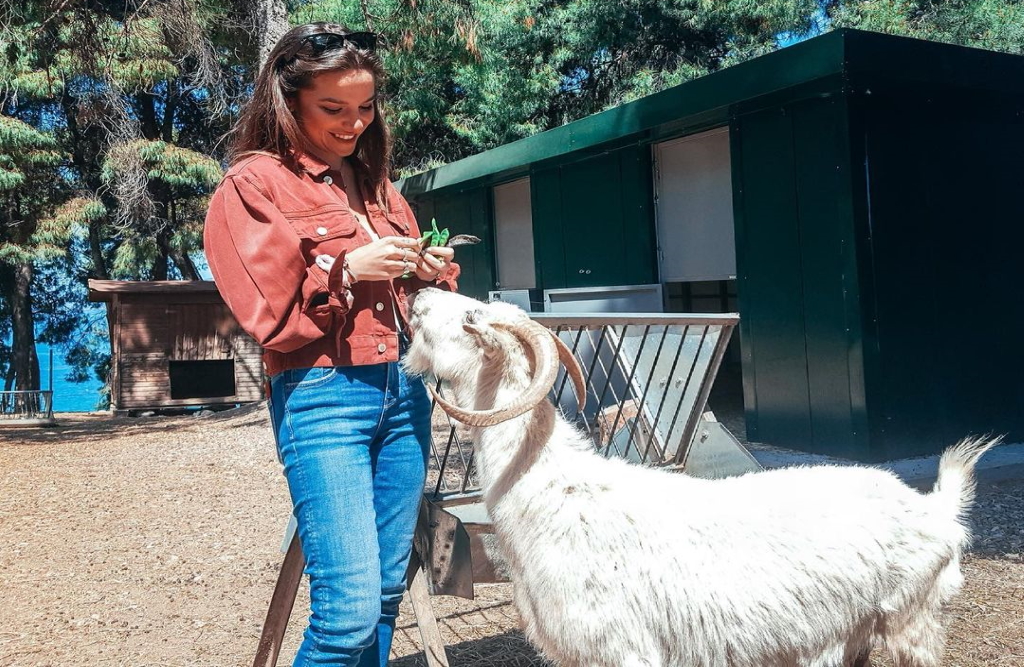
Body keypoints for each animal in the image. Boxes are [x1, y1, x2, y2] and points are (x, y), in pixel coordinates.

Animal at [403, 288, 995, 667]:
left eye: (471, 316)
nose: (418, 297)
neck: (555, 490)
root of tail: (936, 507)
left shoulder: (623, 650)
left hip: (913, 620)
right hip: (856, 631)